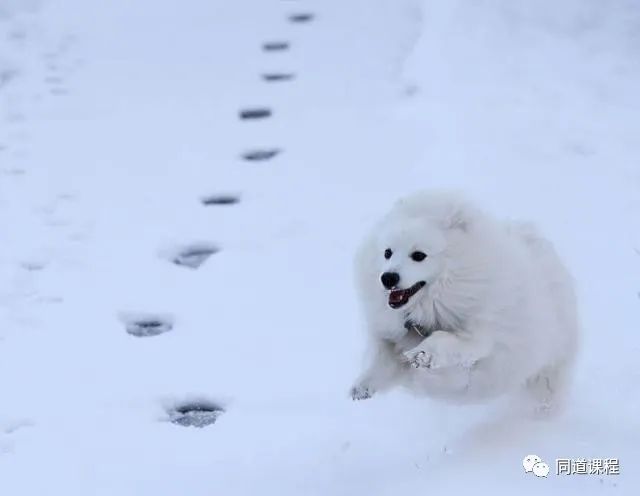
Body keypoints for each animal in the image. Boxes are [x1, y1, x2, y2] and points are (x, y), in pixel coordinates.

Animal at [350, 190, 580, 414]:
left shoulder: (481, 338)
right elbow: (381, 360)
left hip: (548, 362)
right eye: (387, 252)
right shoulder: (391, 336)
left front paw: (423, 355)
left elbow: (446, 341)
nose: (387, 278)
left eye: (419, 255)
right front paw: (362, 387)